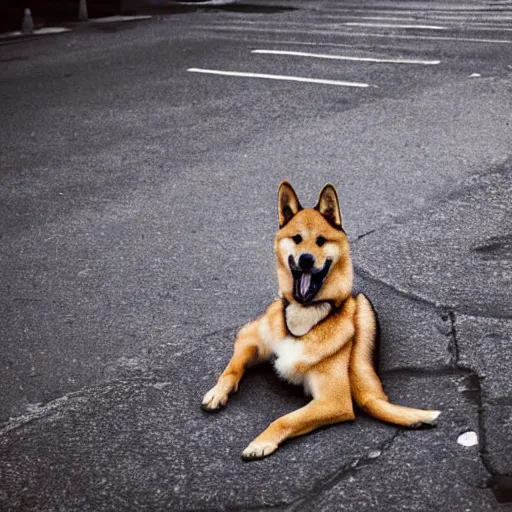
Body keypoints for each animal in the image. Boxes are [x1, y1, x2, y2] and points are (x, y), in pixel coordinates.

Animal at [200, 183, 440, 460]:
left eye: (321, 241)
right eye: (296, 238)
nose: (305, 259)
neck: (305, 316)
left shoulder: (334, 401)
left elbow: (285, 419)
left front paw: (261, 442)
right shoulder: (251, 338)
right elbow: (232, 367)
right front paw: (217, 393)